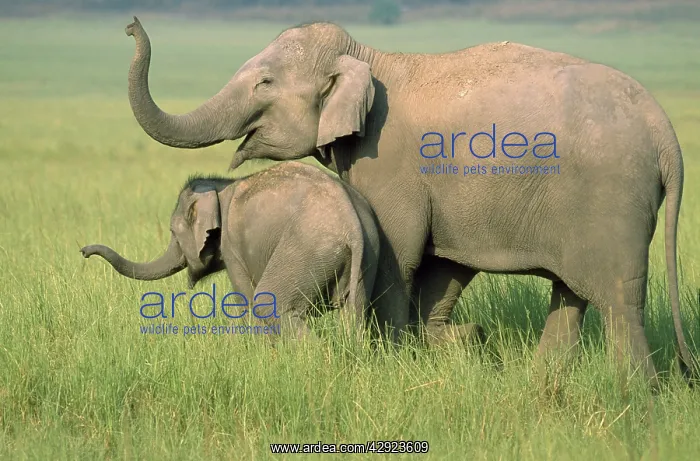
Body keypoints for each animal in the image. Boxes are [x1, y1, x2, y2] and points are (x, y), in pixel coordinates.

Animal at [81, 161, 382, 341]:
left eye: (173, 233)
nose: (84, 251)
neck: (220, 186)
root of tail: (351, 223)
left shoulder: (233, 246)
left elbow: (246, 298)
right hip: (366, 256)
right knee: (354, 314)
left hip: (305, 250)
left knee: (269, 303)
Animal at [122, 17, 695, 388]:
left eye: (265, 82)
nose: (130, 26)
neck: (369, 58)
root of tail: (665, 134)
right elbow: (439, 267)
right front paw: (455, 346)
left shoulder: (388, 159)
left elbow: (399, 253)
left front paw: (395, 361)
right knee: (571, 293)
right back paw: (544, 385)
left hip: (612, 201)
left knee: (618, 298)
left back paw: (637, 398)